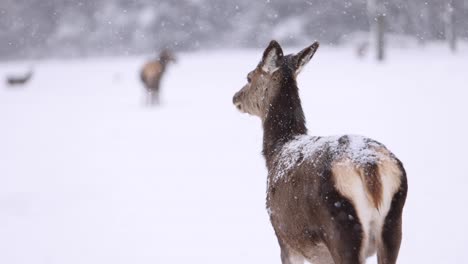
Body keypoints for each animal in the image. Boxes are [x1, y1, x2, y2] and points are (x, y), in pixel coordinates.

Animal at [232, 39, 408, 264]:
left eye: (249, 76)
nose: (235, 96)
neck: (277, 150)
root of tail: (369, 167)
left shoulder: (285, 239)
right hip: (393, 225)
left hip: (341, 227)